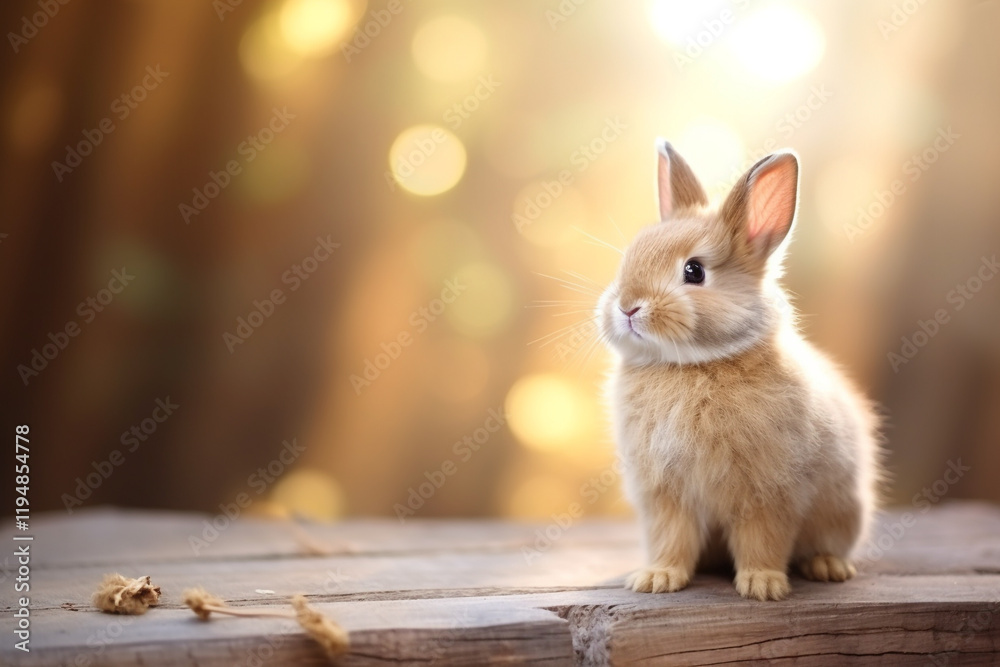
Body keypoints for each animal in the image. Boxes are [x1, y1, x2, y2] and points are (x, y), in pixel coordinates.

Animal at [597, 139, 882, 601]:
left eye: (694, 271)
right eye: (630, 257)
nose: (627, 307)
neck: (694, 363)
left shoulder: (770, 491)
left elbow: (762, 538)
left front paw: (762, 585)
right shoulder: (665, 494)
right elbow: (671, 537)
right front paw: (657, 579)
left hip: (842, 511)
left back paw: (828, 567)